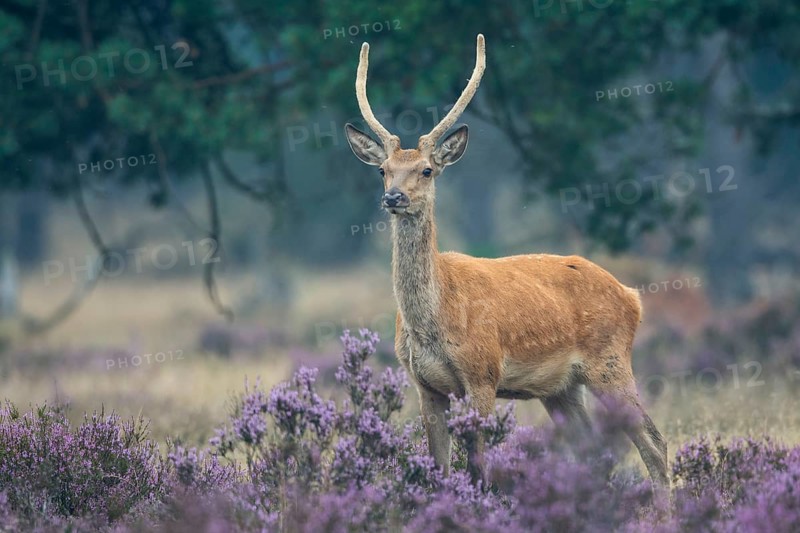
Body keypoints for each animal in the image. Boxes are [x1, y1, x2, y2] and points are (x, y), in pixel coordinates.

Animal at [344, 34, 669, 487]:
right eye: (383, 170)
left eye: (426, 170)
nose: (394, 197)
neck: (435, 319)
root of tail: (632, 296)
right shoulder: (425, 386)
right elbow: (438, 467)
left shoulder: (482, 374)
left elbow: (478, 468)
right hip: (562, 388)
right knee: (596, 451)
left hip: (610, 362)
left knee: (654, 444)